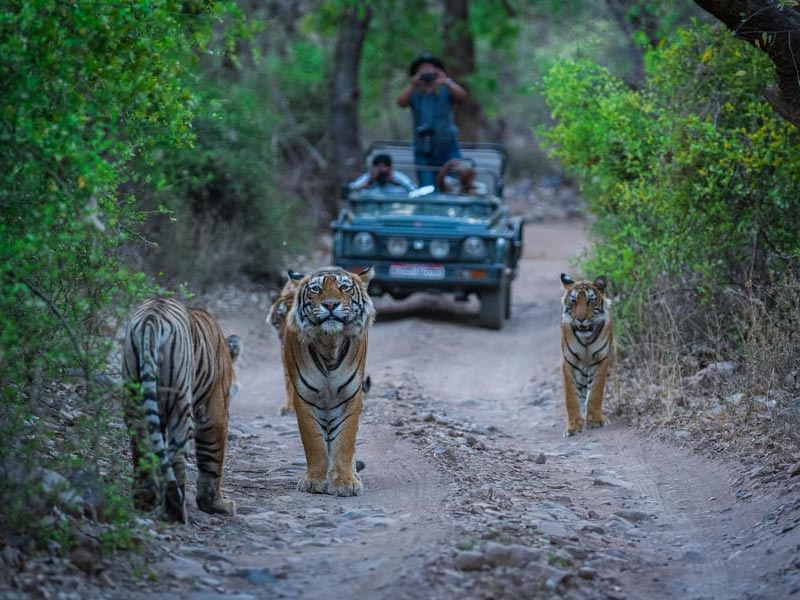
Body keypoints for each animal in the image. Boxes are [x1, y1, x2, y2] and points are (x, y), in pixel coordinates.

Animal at [122, 298, 241, 524]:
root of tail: (152, 318)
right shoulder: (215, 414)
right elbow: (212, 461)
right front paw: (217, 505)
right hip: (180, 404)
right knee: (175, 457)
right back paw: (176, 512)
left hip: (135, 399)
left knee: (143, 448)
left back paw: (145, 501)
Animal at [282, 268, 376, 496]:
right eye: (316, 289)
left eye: (344, 287)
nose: (331, 304)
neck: (329, 344)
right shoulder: (304, 397)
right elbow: (314, 441)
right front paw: (314, 480)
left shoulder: (350, 396)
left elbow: (345, 440)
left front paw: (345, 482)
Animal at [560, 274, 616, 438]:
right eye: (573, 301)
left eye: (590, 301)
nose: (580, 319)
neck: (586, 340)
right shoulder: (568, 362)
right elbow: (571, 397)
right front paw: (573, 426)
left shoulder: (601, 361)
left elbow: (596, 392)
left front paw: (595, 420)